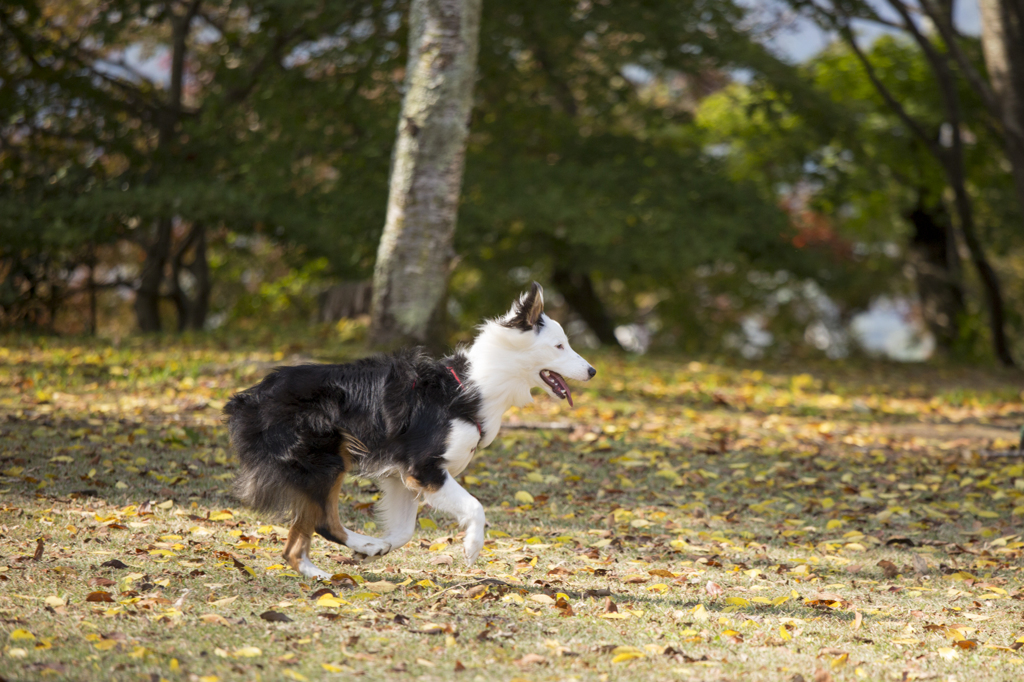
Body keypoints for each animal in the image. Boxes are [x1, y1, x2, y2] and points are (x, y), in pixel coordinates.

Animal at [224, 280, 593, 577]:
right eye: (559, 345)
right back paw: (357, 549)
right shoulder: (425, 468)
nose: (591, 371)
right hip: (327, 459)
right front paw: (472, 546)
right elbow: (475, 506)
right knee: (325, 522)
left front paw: (378, 549)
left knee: (295, 544)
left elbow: (404, 532)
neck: (470, 388)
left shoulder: (403, 477)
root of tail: (251, 396)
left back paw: (323, 572)